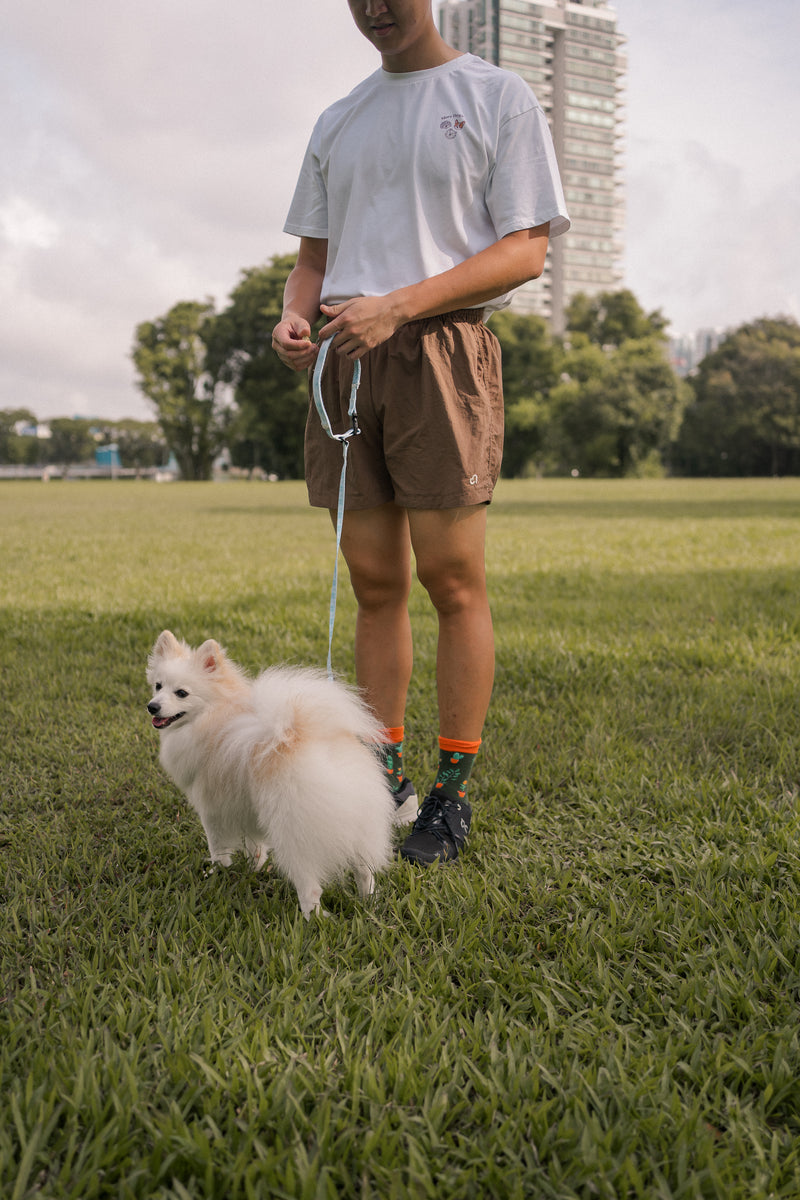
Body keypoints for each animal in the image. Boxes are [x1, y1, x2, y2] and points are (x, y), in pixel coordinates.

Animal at [145, 628, 407, 916]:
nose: (152, 706)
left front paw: (216, 872)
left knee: (310, 886)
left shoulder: (211, 807)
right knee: (364, 871)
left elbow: (218, 847)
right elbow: (255, 846)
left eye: (181, 693)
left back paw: (313, 918)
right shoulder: (246, 807)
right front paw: (254, 869)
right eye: (158, 686)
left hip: (294, 833)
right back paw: (370, 902)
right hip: (361, 825)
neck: (215, 710)